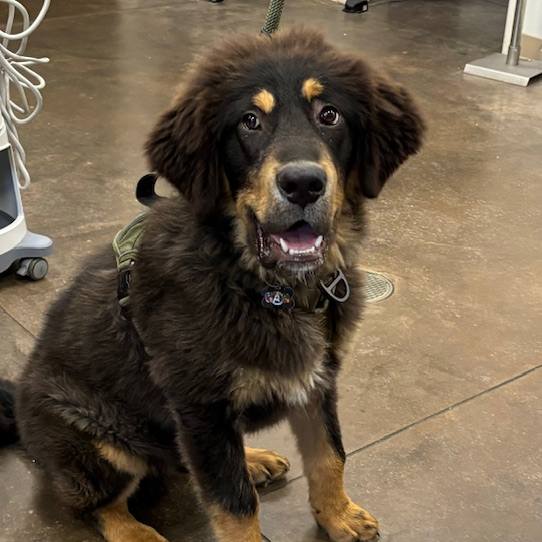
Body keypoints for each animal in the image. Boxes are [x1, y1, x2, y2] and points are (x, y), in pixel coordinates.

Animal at [0, 28, 424, 542]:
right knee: (97, 504)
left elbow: (330, 454)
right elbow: (234, 505)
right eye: (249, 122)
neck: (270, 290)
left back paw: (253, 459)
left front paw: (338, 515)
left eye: (330, 115)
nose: (303, 184)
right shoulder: (200, 405)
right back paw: (138, 532)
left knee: (187, 460)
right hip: (98, 437)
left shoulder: (316, 379)